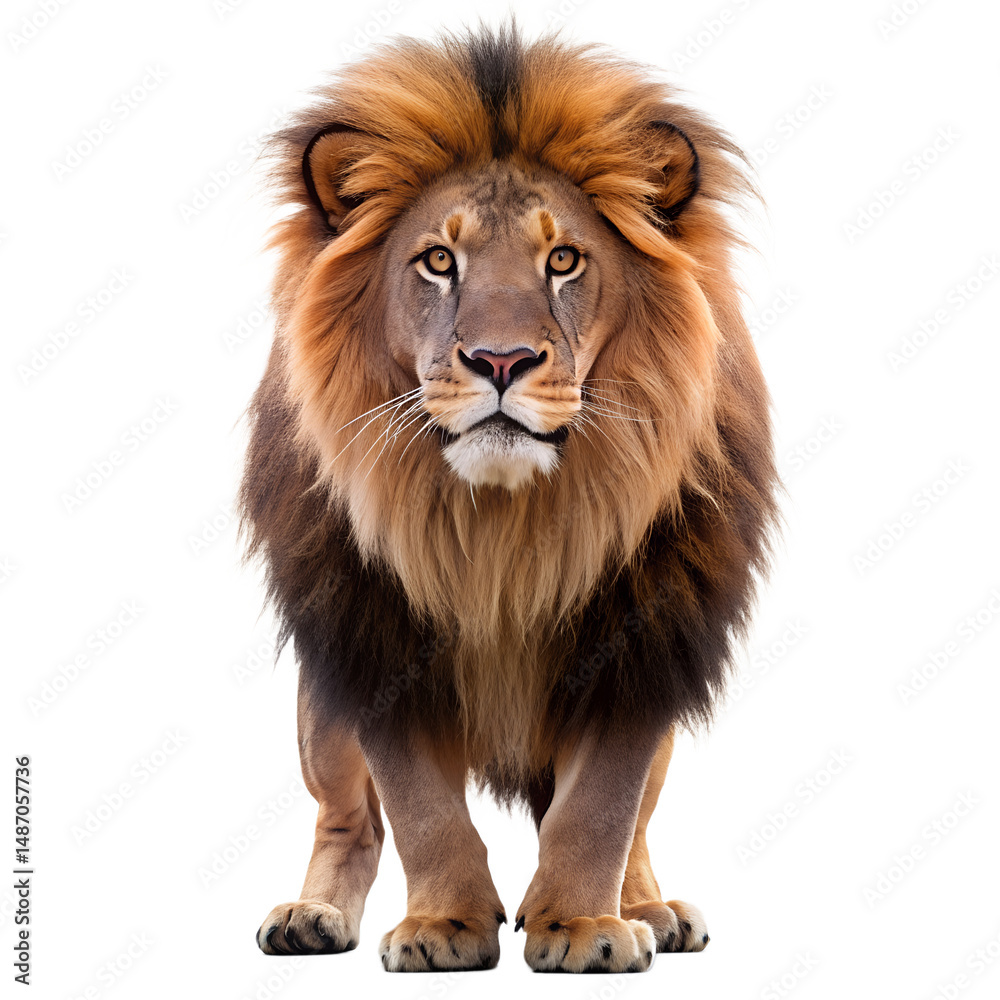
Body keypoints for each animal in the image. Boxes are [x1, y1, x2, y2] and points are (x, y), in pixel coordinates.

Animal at [238, 24, 779, 973]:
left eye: (562, 260)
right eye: (437, 261)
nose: (500, 361)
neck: (504, 521)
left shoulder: (643, 639)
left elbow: (601, 808)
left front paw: (583, 927)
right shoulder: (373, 634)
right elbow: (419, 807)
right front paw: (445, 926)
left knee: (639, 827)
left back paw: (650, 909)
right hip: (320, 711)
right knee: (348, 819)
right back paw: (312, 915)